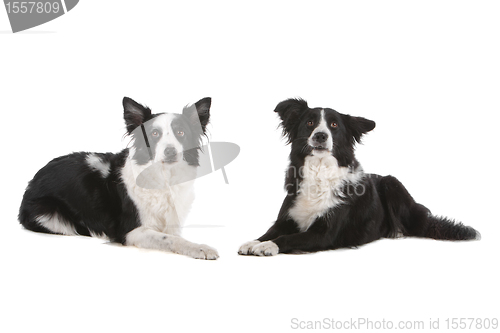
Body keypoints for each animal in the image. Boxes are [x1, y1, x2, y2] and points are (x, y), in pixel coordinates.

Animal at [19, 96, 219, 260]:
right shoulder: (132, 231)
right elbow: (169, 239)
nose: (170, 151)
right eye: (154, 134)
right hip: (51, 216)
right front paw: (200, 248)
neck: (164, 178)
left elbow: (172, 235)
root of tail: (32, 180)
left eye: (181, 133)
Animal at [238, 97, 480, 255]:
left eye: (334, 125)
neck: (319, 171)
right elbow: (270, 231)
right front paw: (253, 242)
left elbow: (288, 238)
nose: (320, 135)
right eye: (310, 123)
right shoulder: (286, 218)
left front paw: (268, 246)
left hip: (392, 182)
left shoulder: (324, 233)